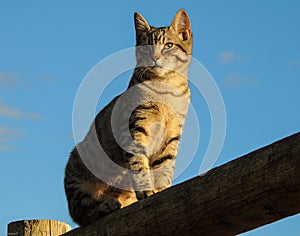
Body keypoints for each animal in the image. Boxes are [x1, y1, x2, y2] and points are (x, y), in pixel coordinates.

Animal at [64, 9, 193, 226]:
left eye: (168, 45)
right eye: (146, 47)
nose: (155, 57)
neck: (166, 87)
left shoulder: (173, 134)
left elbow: (164, 166)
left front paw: (161, 190)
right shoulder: (135, 127)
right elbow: (139, 164)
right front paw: (146, 190)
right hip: (78, 171)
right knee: (81, 210)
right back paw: (104, 205)